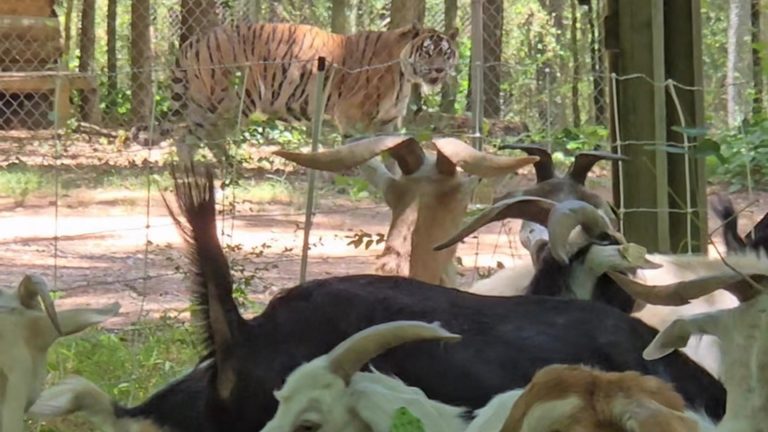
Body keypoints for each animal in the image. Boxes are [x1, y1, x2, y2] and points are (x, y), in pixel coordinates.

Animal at [132, 21, 459, 164]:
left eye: (446, 53)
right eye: (428, 52)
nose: (439, 70)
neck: (405, 74)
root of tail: (196, 39)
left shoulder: (389, 120)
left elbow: (395, 149)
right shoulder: (353, 116)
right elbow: (359, 149)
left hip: (208, 103)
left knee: (190, 137)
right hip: (229, 101)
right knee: (200, 136)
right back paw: (218, 169)